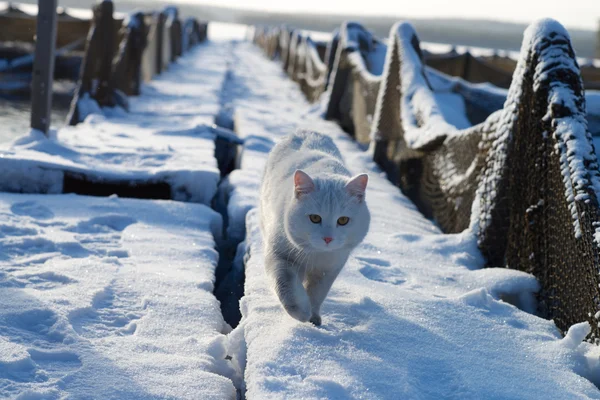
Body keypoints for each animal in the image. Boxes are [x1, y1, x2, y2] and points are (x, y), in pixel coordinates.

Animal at [258, 130, 370, 324]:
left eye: (343, 220)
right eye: (315, 218)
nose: (328, 238)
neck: (317, 254)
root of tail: (305, 131)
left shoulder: (329, 269)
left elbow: (317, 294)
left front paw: (313, 317)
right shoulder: (279, 256)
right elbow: (286, 285)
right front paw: (301, 312)